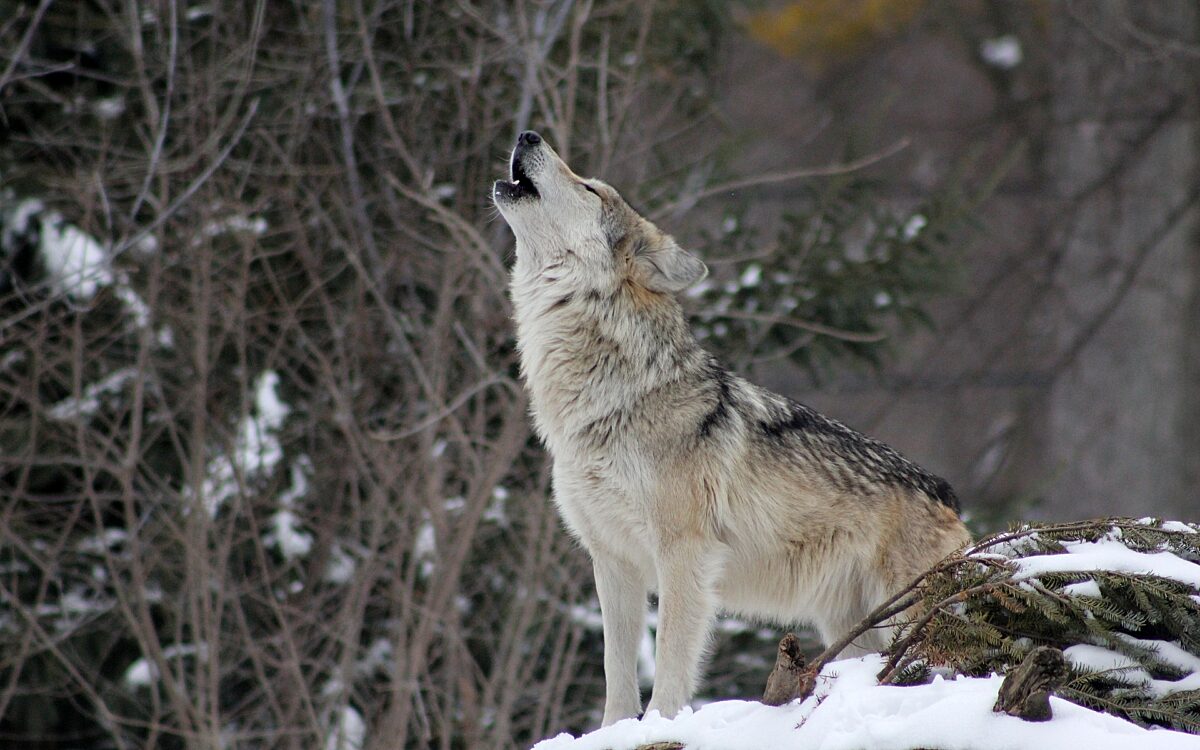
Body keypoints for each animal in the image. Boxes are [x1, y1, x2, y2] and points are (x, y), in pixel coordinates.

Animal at [493, 130, 970, 725]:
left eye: (590, 188)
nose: (528, 134)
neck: (610, 399)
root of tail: (948, 494)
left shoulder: (684, 554)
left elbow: (670, 661)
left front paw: (661, 726)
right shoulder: (613, 560)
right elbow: (616, 673)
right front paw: (615, 730)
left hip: (908, 618)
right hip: (853, 629)